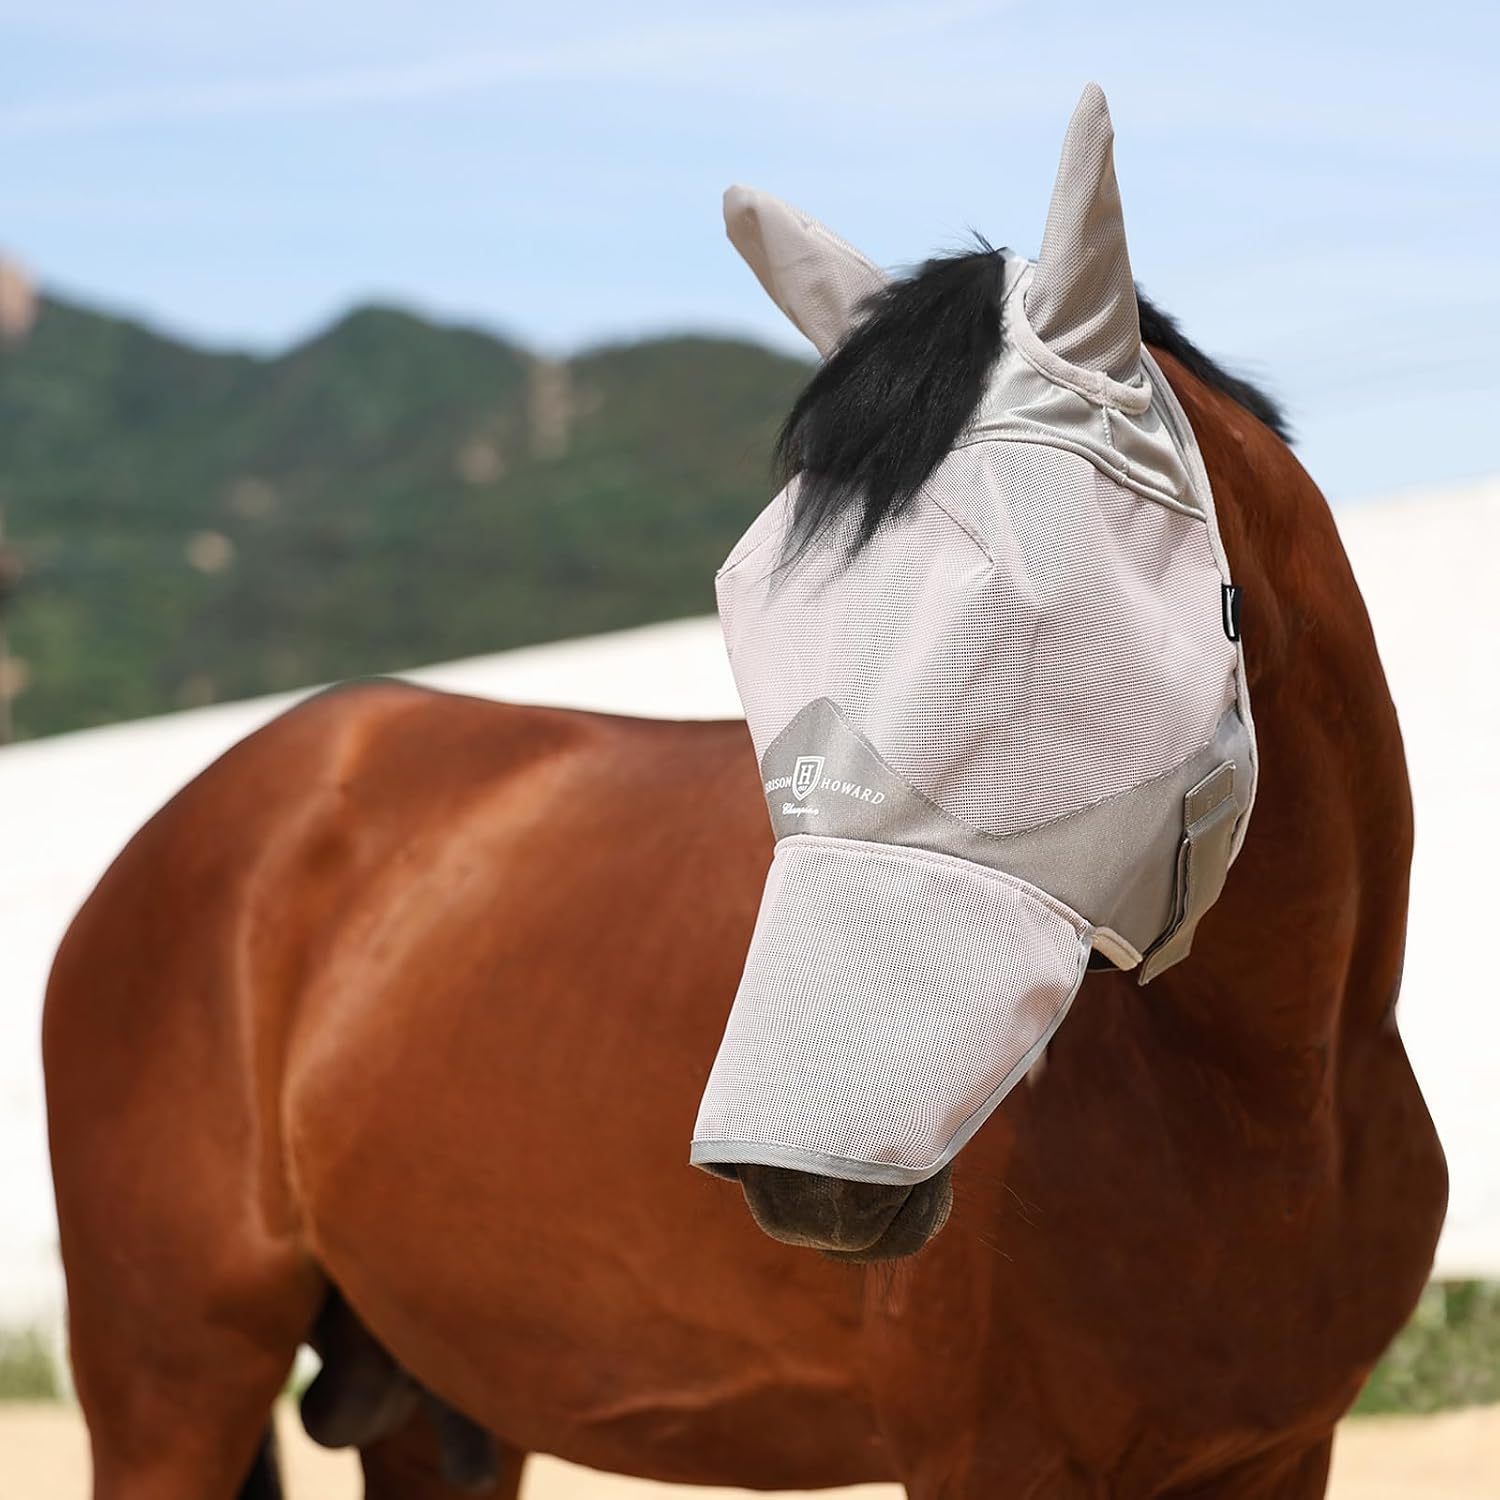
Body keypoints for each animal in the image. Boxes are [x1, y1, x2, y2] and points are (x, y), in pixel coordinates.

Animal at [44, 85, 1445, 1499]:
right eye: (752, 613)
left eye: (1035, 613)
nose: (802, 1171)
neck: (1267, 1102)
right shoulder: (991, 1456)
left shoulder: (1283, 1452)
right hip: (173, 1389)